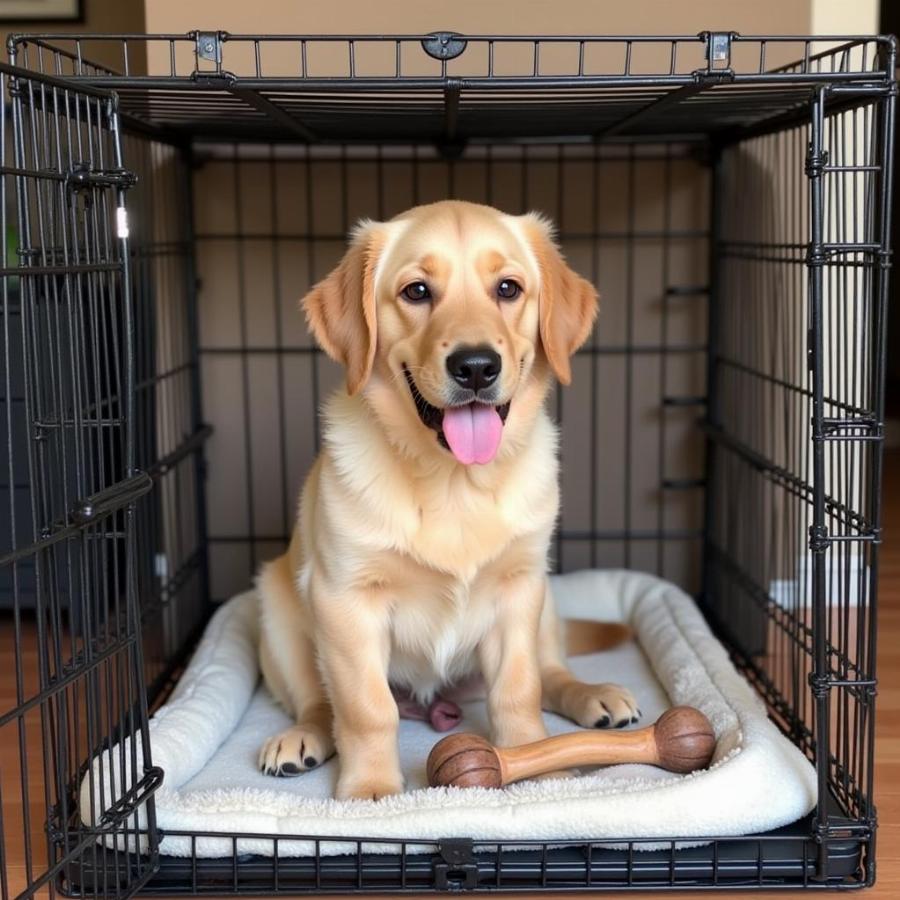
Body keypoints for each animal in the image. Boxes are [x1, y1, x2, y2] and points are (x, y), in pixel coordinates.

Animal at [256, 200, 640, 800]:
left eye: (508, 288)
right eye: (416, 291)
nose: (477, 366)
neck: (455, 481)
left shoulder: (517, 590)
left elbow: (520, 688)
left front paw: (535, 764)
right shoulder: (345, 600)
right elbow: (366, 707)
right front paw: (370, 789)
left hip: (545, 600)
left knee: (552, 671)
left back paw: (591, 693)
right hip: (274, 613)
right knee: (318, 699)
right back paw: (302, 737)